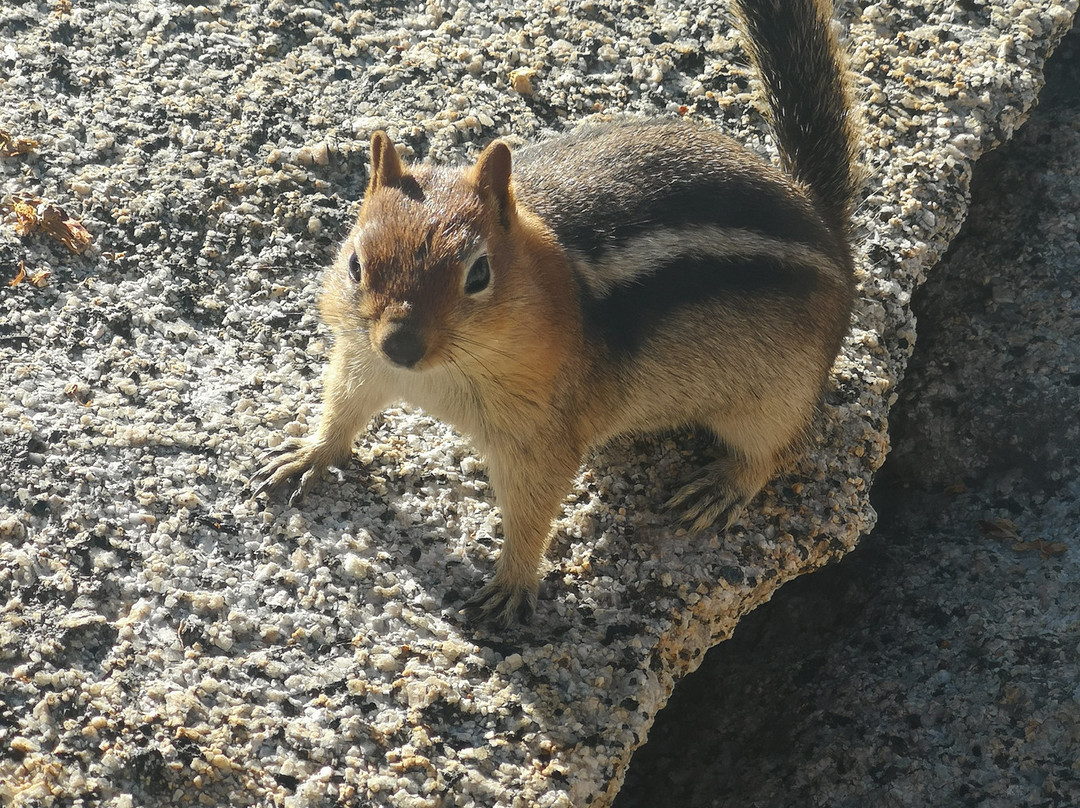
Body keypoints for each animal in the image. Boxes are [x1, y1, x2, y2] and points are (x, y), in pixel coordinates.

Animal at [252, 0, 859, 626]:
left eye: (478, 274)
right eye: (355, 264)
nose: (401, 344)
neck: (439, 375)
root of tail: (824, 224)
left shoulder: (542, 434)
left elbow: (533, 509)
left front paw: (512, 582)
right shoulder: (362, 358)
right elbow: (343, 408)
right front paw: (306, 455)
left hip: (774, 397)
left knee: (779, 448)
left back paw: (724, 486)